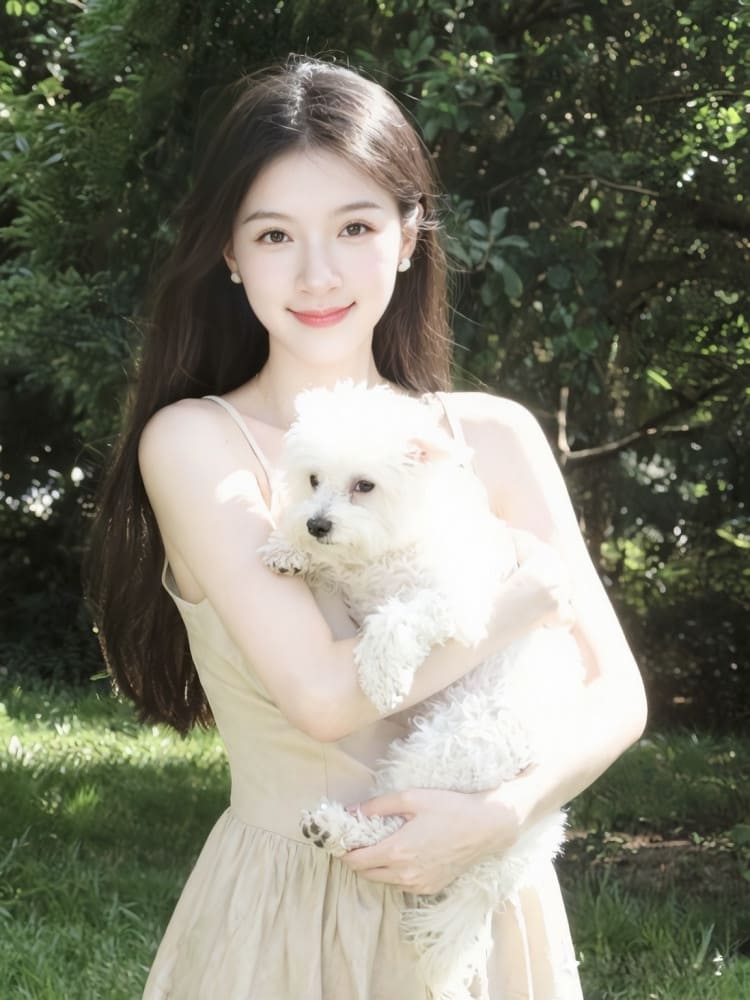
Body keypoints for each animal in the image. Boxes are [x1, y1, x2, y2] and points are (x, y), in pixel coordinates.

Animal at [260, 381, 583, 1000]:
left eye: (364, 485)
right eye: (313, 479)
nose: (316, 524)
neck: (400, 536)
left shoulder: (459, 603)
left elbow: (398, 617)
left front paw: (383, 673)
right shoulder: (361, 575)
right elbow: (343, 569)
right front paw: (289, 549)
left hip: (446, 751)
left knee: (395, 825)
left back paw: (337, 827)